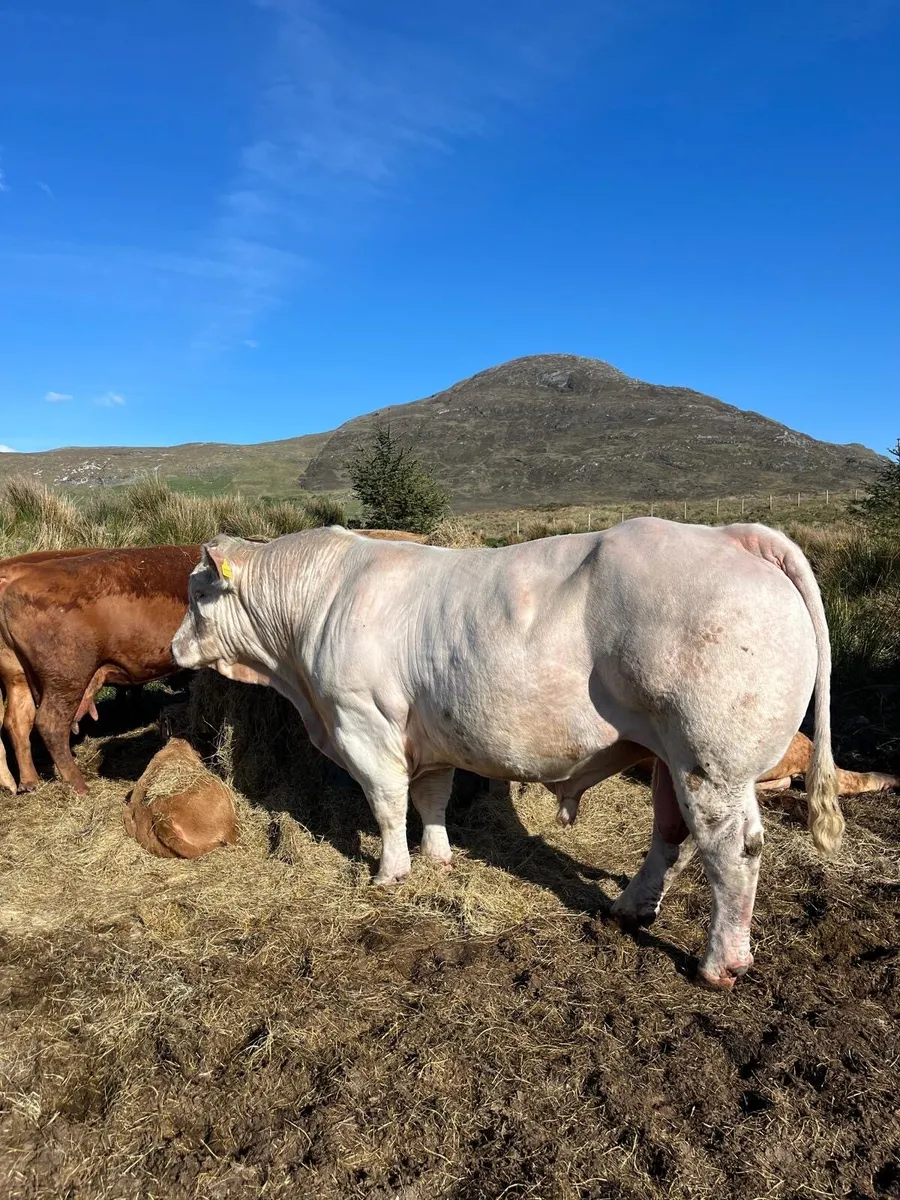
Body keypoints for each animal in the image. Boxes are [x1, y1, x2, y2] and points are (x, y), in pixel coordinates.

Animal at [0, 545, 201, 795]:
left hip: (17, 674)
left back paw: (29, 783)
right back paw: (79, 787)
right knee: (49, 723)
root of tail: (17, 573)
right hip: (67, 674)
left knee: (18, 721)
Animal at [171, 519, 843, 990]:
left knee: (732, 848)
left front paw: (390, 873)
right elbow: (431, 797)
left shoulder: (361, 722)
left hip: (712, 758)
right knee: (670, 834)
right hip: (667, 756)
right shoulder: (430, 733)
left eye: (198, 594)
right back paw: (628, 909)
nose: (174, 649)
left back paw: (719, 963)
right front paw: (438, 858)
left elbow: (386, 804)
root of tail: (730, 535)